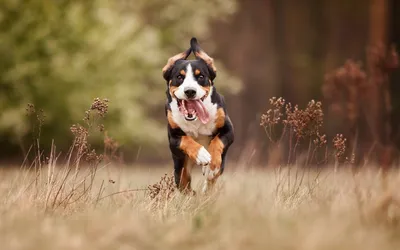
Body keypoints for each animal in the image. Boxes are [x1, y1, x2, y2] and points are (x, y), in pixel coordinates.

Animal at [162, 37, 234, 193]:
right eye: (179, 77)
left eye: (201, 76)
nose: (190, 91)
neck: (196, 121)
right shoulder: (173, 137)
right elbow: (186, 140)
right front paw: (201, 154)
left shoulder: (229, 130)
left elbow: (217, 142)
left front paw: (211, 164)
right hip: (180, 168)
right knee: (185, 186)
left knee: (212, 180)